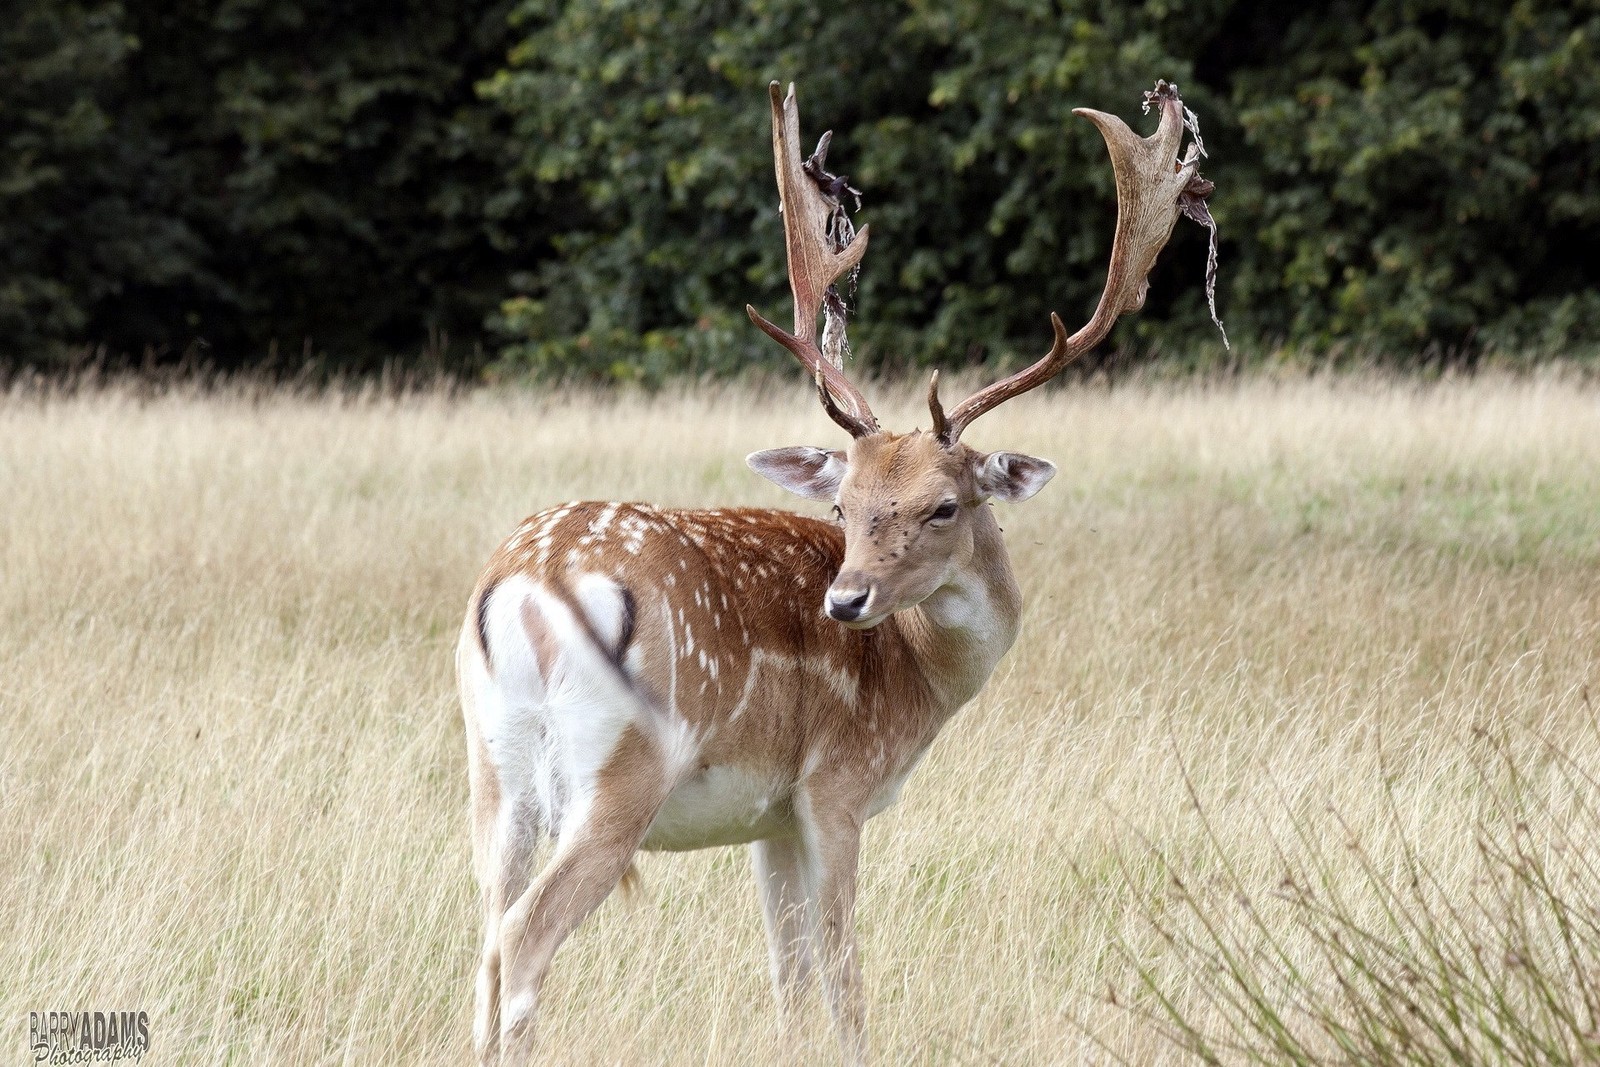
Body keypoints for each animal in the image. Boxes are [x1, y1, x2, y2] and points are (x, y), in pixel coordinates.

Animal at [451, 77, 1209, 1067]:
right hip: (622, 766)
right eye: (843, 505)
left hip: (491, 763)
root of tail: (527, 585)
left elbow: (788, 974)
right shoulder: (835, 787)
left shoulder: (769, 816)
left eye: (943, 505)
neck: (921, 682)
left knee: (484, 931)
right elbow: (845, 975)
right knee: (523, 934)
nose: (846, 601)